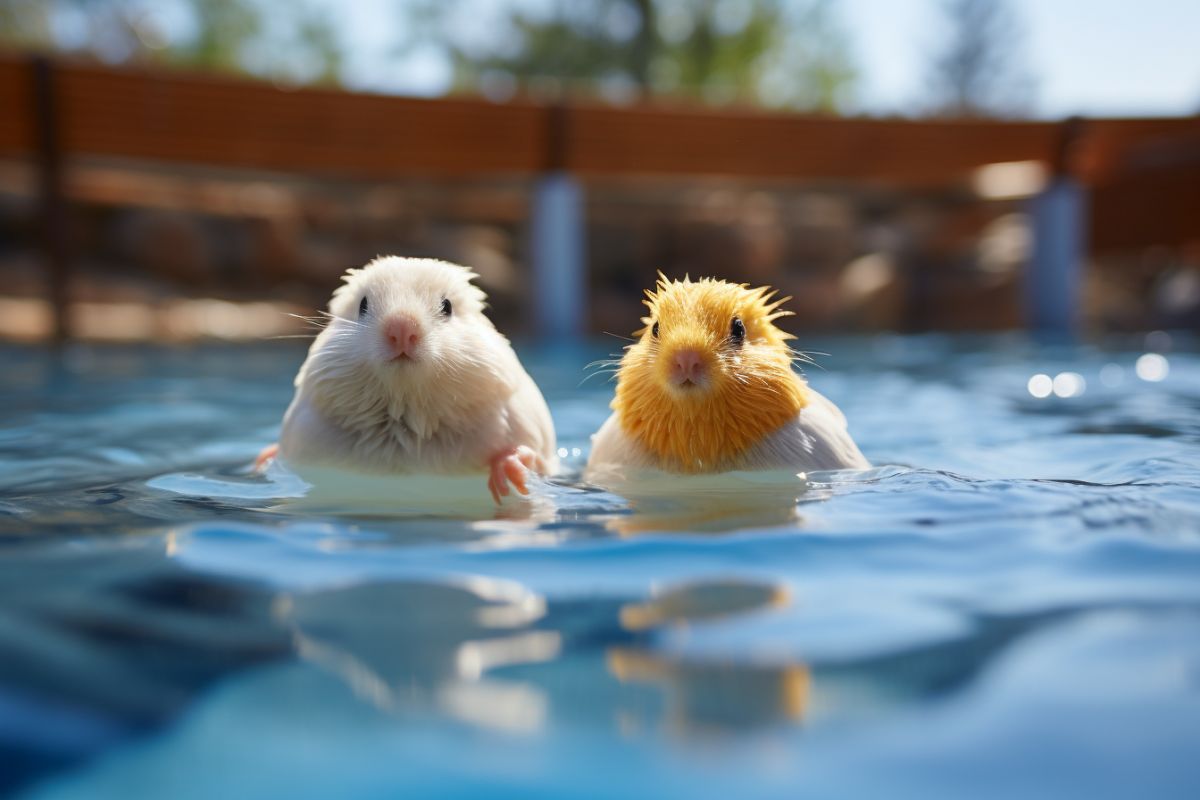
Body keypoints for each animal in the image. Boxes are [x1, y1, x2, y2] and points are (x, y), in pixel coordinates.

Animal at [268, 256, 557, 503]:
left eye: (447, 306)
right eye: (362, 305)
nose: (402, 330)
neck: (407, 415)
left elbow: (534, 460)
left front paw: (509, 474)